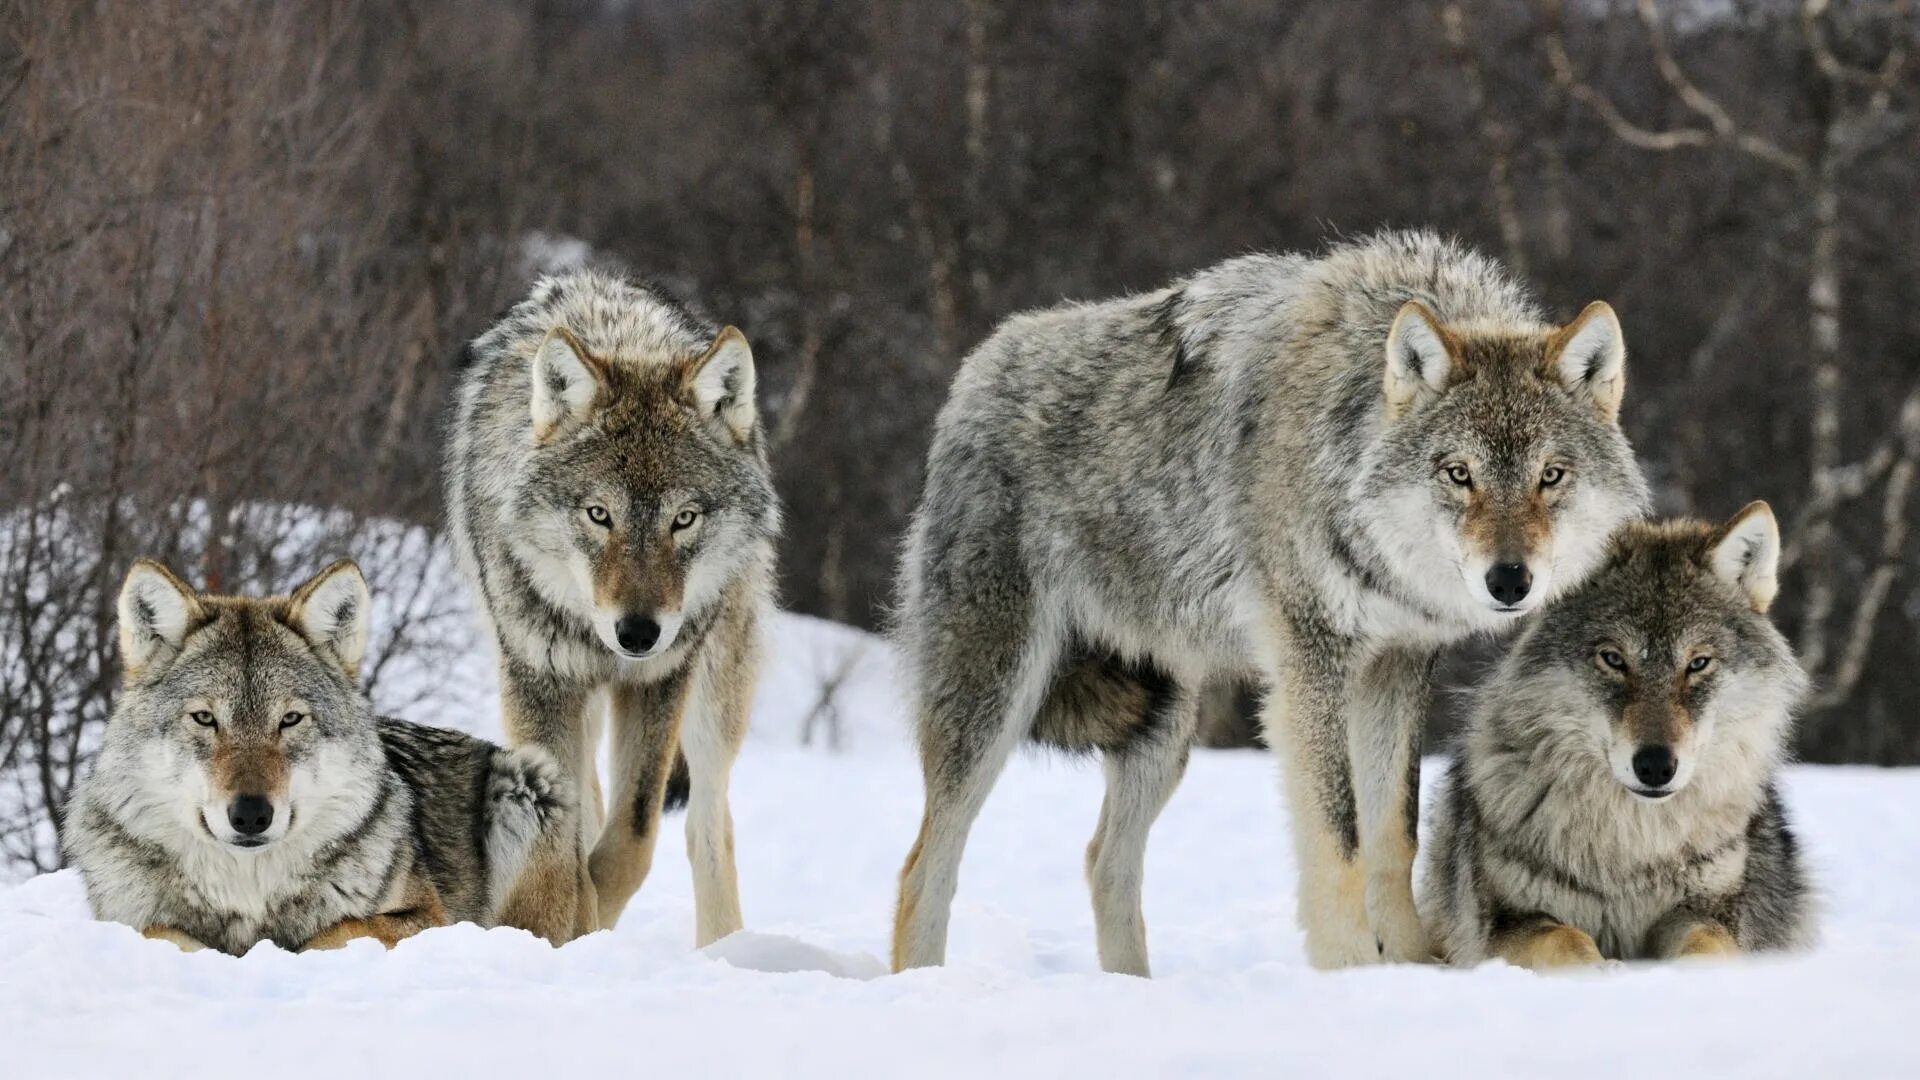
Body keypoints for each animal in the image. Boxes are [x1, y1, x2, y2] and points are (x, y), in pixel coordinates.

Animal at [61, 553, 568, 949]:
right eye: (205, 718)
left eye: (290, 720)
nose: (250, 814)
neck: (249, 894)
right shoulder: (129, 919)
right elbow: (159, 932)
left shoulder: (429, 918)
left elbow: (334, 932)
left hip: (528, 781)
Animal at [445, 267, 775, 941]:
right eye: (600, 515)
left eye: (684, 519)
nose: (638, 633)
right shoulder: (538, 680)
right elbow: (566, 841)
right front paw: (565, 926)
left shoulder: (660, 680)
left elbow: (631, 839)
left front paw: (591, 919)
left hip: (715, 692)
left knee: (708, 823)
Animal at [887, 228, 1651, 976]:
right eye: (1459, 474)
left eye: (1551, 475)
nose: (1510, 581)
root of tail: (975, 371)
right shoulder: (1311, 662)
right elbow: (1339, 836)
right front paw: (1351, 971)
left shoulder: (1397, 666)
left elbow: (1393, 835)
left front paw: (1409, 966)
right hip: (995, 703)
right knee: (923, 865)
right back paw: (924, 983)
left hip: (1163, 728)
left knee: (1104, 861)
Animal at [1428, 503, 1812, 968]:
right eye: (1613, 659)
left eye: (1698, 663)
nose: (1656, 766)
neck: (1633, 848)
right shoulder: (1508, 923)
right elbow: (1566, 940)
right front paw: (1602, 972)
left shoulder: (1707, 911)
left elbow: (1706, 947)